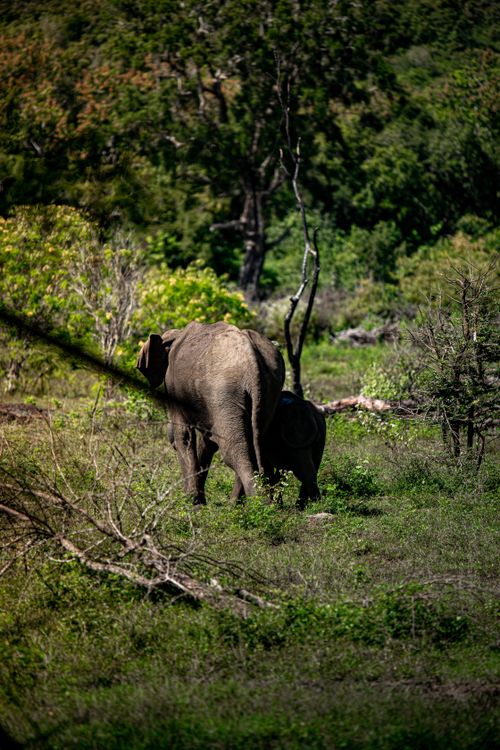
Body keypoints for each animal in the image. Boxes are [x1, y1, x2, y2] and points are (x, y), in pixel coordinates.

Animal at [137, 321, 285, 505]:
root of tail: (252, 359)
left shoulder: (173, 385)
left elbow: (184, 435)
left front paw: (192, 504)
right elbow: (207, 441)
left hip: (225, 391)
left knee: (234, 451)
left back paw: (258, 506)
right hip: (268, 391)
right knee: (256, 444)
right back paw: (246, 505)